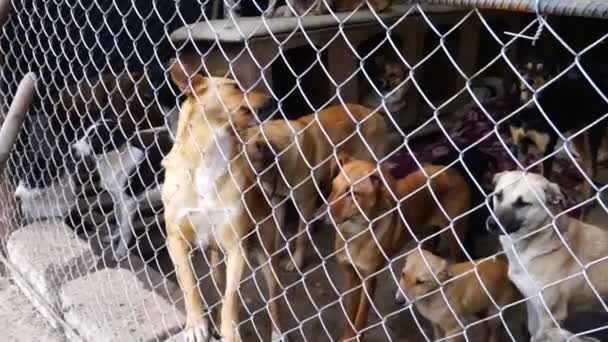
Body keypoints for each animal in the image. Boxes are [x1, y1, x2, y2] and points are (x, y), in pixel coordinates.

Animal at [245, 103, 392, 272]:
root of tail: (375, 114)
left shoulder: (306, 202)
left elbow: (301, 236)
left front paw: (297, 261)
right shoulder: (278, 200)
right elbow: (277, 230)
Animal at [326, 158, 472, 342]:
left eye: (353, 193)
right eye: (333, 187)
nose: (320, 217)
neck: (355, 234)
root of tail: (453, 171)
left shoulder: (369, 279)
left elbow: (360, 317)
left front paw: (355, 336)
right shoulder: (350, 274)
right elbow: (350, 312)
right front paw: (347, 336)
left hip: (455, 235)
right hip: (425, 236)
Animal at [486, 172, 608, 338]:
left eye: (522, 203)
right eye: (498, 196)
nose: (491, 224)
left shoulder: (551, 316)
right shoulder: (532, 302)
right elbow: (532, 329)